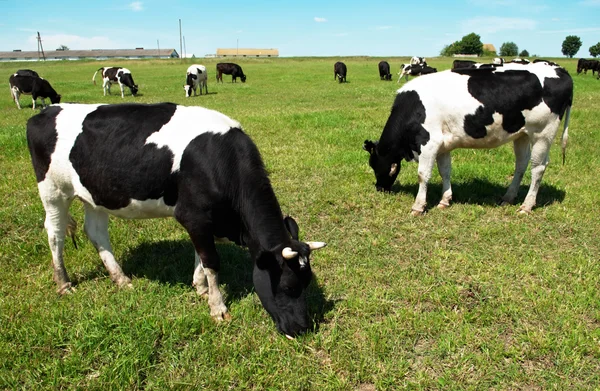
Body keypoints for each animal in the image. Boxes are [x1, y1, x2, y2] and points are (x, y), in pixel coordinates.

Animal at [25, 102, 326, 338]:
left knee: (96, 232)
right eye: (288, 286)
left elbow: (201, 257)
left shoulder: (203, 221)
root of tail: (47, 110)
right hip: (52, 190)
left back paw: (121, 279)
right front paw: (218, 307)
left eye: (307, 282)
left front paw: (200, 287)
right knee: (55, 234)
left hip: (94, 194)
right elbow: (211, 261)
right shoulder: (193, 215)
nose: (301, 328)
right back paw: (63, 282)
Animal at [364, 63, 576, 217]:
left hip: (542, 133)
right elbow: (445, 171)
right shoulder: (443, 145)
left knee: (538, 167)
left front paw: (418, 206)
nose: (379, 188)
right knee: (522, 164)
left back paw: (527, 205)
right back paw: (508, 197)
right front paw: (445, 200)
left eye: (374, 165)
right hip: (522, 134)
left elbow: (423, 175)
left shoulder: (428, 142)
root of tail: (559, 69)